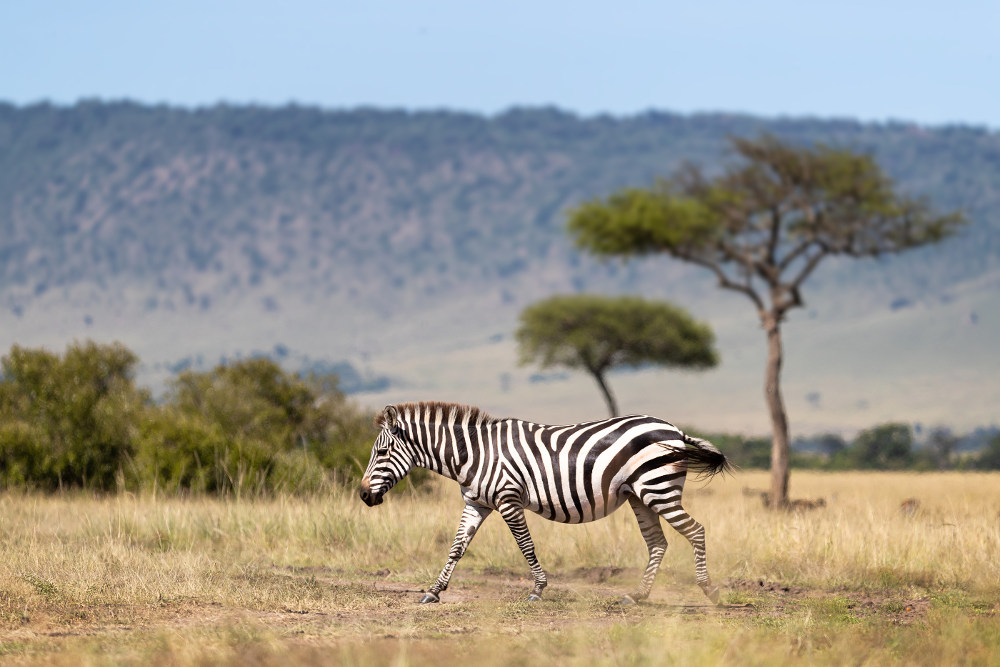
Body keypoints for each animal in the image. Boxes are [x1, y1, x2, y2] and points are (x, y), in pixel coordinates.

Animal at [356, 402, 732, 604]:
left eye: (382, 452)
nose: (362, 495)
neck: (474, 455)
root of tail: (674, 430)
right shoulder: (477, 503)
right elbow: (456, 547)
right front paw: (434, 591)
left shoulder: (508, 498)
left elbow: (525, 545)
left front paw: (538, 589)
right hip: (639, 495)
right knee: (657, 543)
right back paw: (637, 596)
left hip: (658, 490)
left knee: (696, 531)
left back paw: (709, 590)